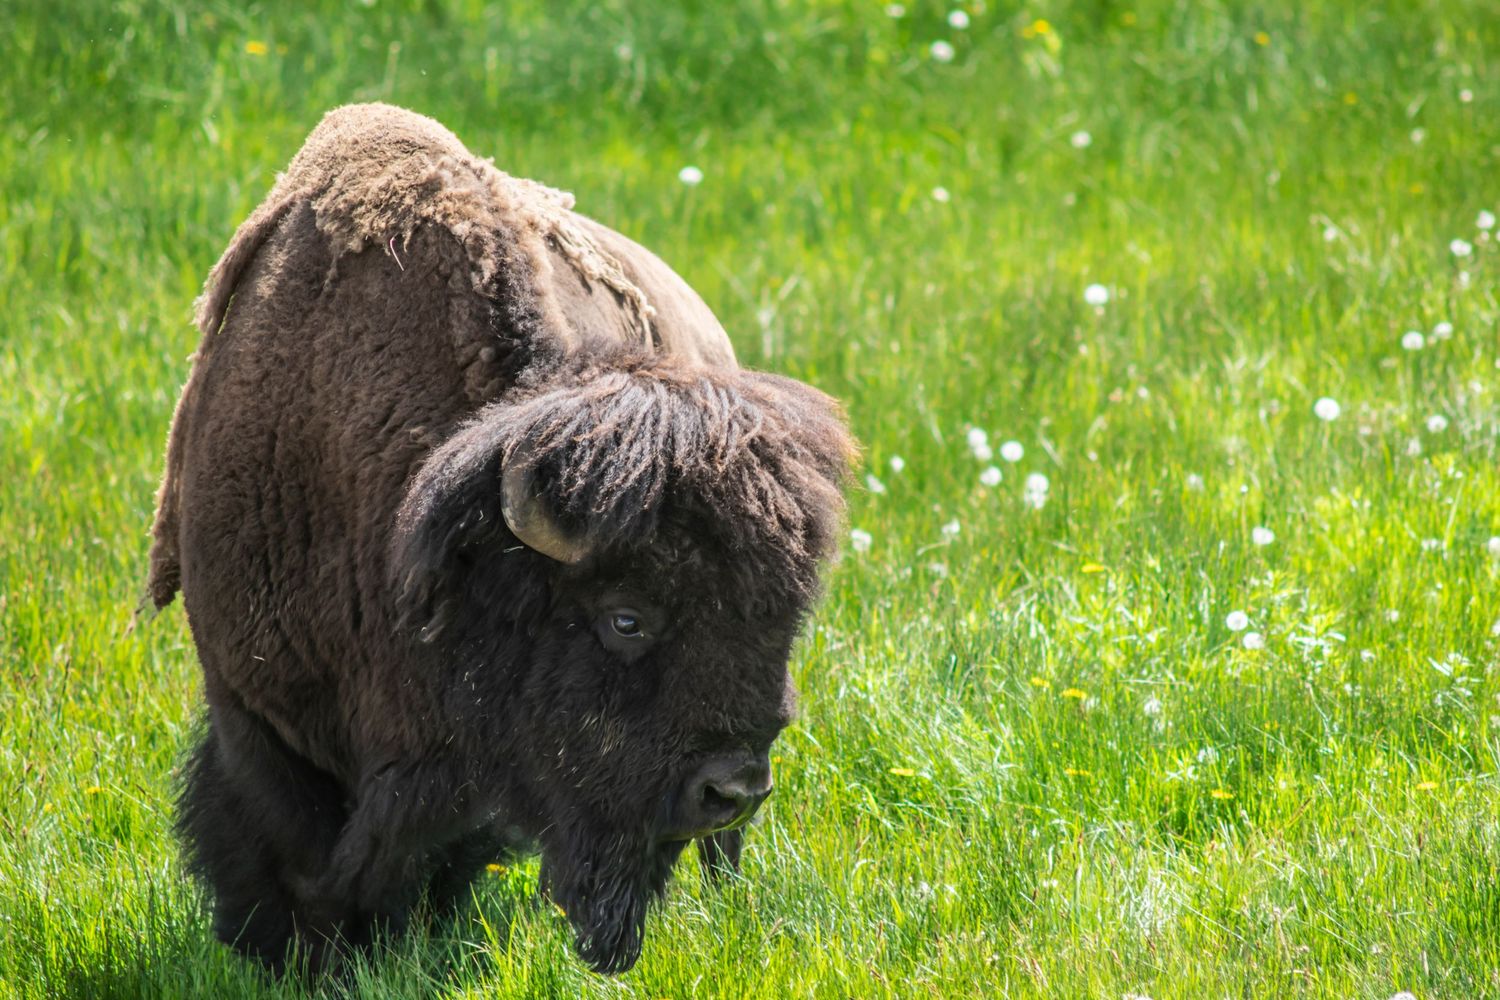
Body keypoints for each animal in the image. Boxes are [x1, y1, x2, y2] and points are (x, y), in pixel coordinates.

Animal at [147, 103, 854, 975]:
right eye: (626, 619)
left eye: (784, 619)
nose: (734, 791)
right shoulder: (253, 706)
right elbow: (293, 845)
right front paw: (296, 951)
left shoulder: (469, 767)